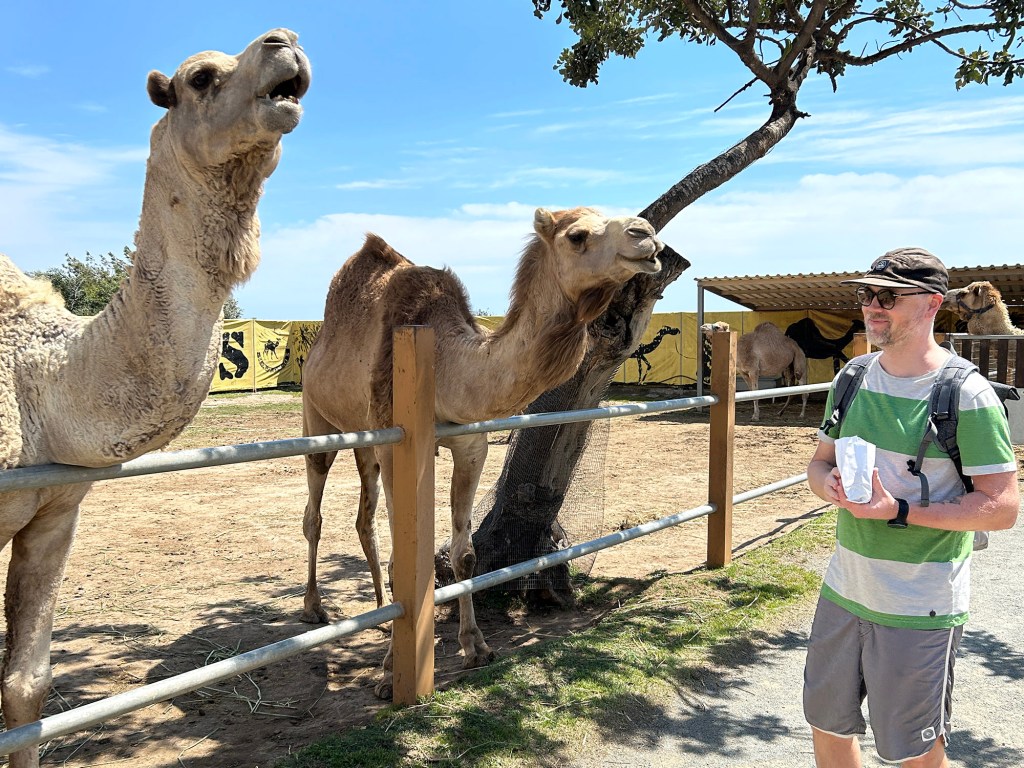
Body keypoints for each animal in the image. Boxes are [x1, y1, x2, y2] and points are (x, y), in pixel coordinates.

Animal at [300, 207, 663, 698]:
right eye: (577, 236)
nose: (647, 236)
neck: (446, 365)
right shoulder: (398, 446)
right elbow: (403, 560)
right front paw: (389, 674)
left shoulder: (471, 444)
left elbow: (465, 554)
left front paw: (476, 646)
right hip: (317, 418)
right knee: (314, 513)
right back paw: (314, 607)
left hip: (366, 445)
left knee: (364, 517)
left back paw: (379, 611)